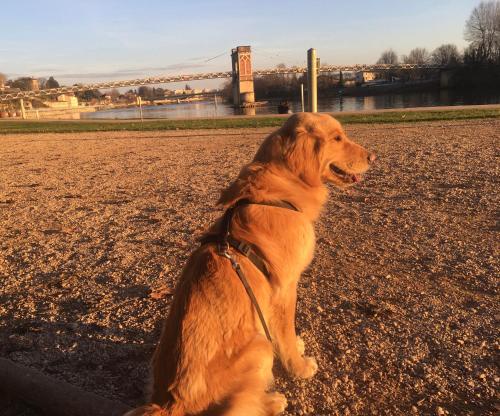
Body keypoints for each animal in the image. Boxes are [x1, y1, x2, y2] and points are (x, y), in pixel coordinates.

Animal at [125, 112, 376, 414]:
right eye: (337, 138)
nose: (373, 156)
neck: (277, 195)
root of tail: (170, 404)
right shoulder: (284, 290)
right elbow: (286, 335)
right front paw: (300, 367)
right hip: (259, 347)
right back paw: (273, 400)